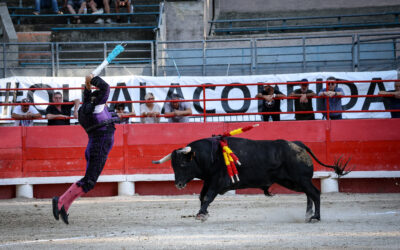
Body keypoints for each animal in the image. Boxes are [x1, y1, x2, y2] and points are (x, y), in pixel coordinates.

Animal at [152, 137, 348, 223]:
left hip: (300, 179)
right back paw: (308, 215)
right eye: (173, 166)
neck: (210, 156)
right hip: (292, 182)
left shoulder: (217, 182)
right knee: (309, 194)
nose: (178, 184)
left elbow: (207, 197)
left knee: (314, 193)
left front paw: (201, 214)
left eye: (183, 165)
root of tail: (298, 144)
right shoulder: (208, 181)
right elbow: (202, 197)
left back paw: (315, 217)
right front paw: (203, 213)